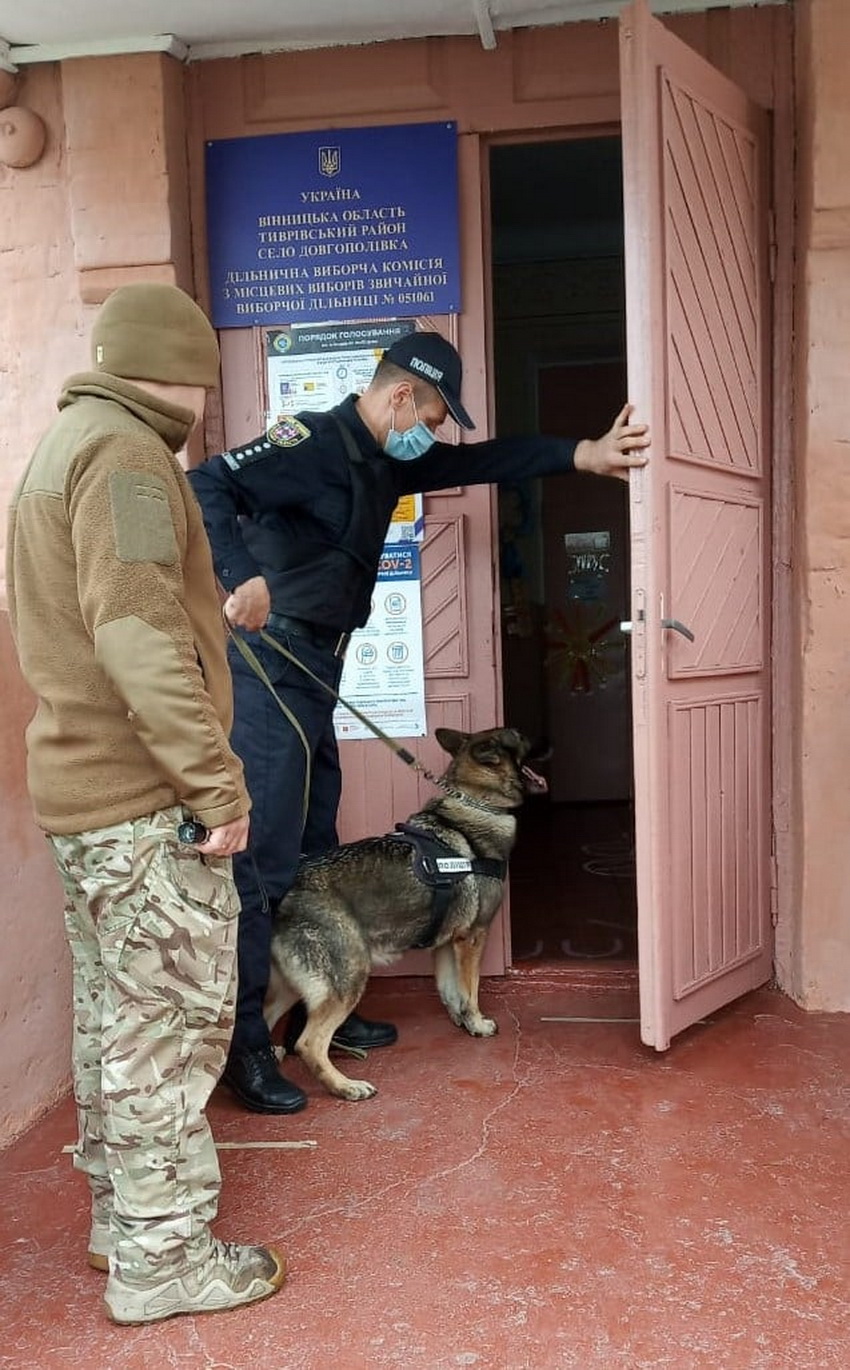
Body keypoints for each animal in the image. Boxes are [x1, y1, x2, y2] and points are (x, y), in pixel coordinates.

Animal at [261, 728, 548, 1101]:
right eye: (521, 736)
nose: (545, 737)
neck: (475, 803)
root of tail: (285, 895)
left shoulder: (446, 944)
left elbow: (450, 990)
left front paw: (462, 1022)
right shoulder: (472, 938)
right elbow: (470, 989)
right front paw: (477, 1022)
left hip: (290, 986)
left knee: (265, 1019)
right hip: (350, 976)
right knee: (308, 1043)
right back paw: (345, 1086)